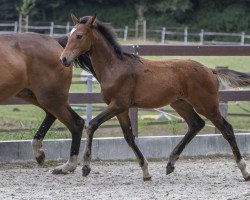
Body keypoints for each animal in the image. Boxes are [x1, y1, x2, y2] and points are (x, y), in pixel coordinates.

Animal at [0, 32, 91, 173]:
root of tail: (54, 41)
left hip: (49, 97)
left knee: (76, 122)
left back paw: (68, 165)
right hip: (34, 95)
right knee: (52, 114)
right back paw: (39, 153)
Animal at [60, 14, 250, 181]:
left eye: (79, 35)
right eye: (69, 36)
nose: (63, 59)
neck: (114, 67)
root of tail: (210, 70)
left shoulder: (118, 105)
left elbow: (92, 125)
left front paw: (86, 167)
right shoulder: (120, 109)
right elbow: (129, 137)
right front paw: (146, 172)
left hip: (207, 105)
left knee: (227, 129)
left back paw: (244, 170)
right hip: (180, 104)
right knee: (196, 124)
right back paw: (170, 163)